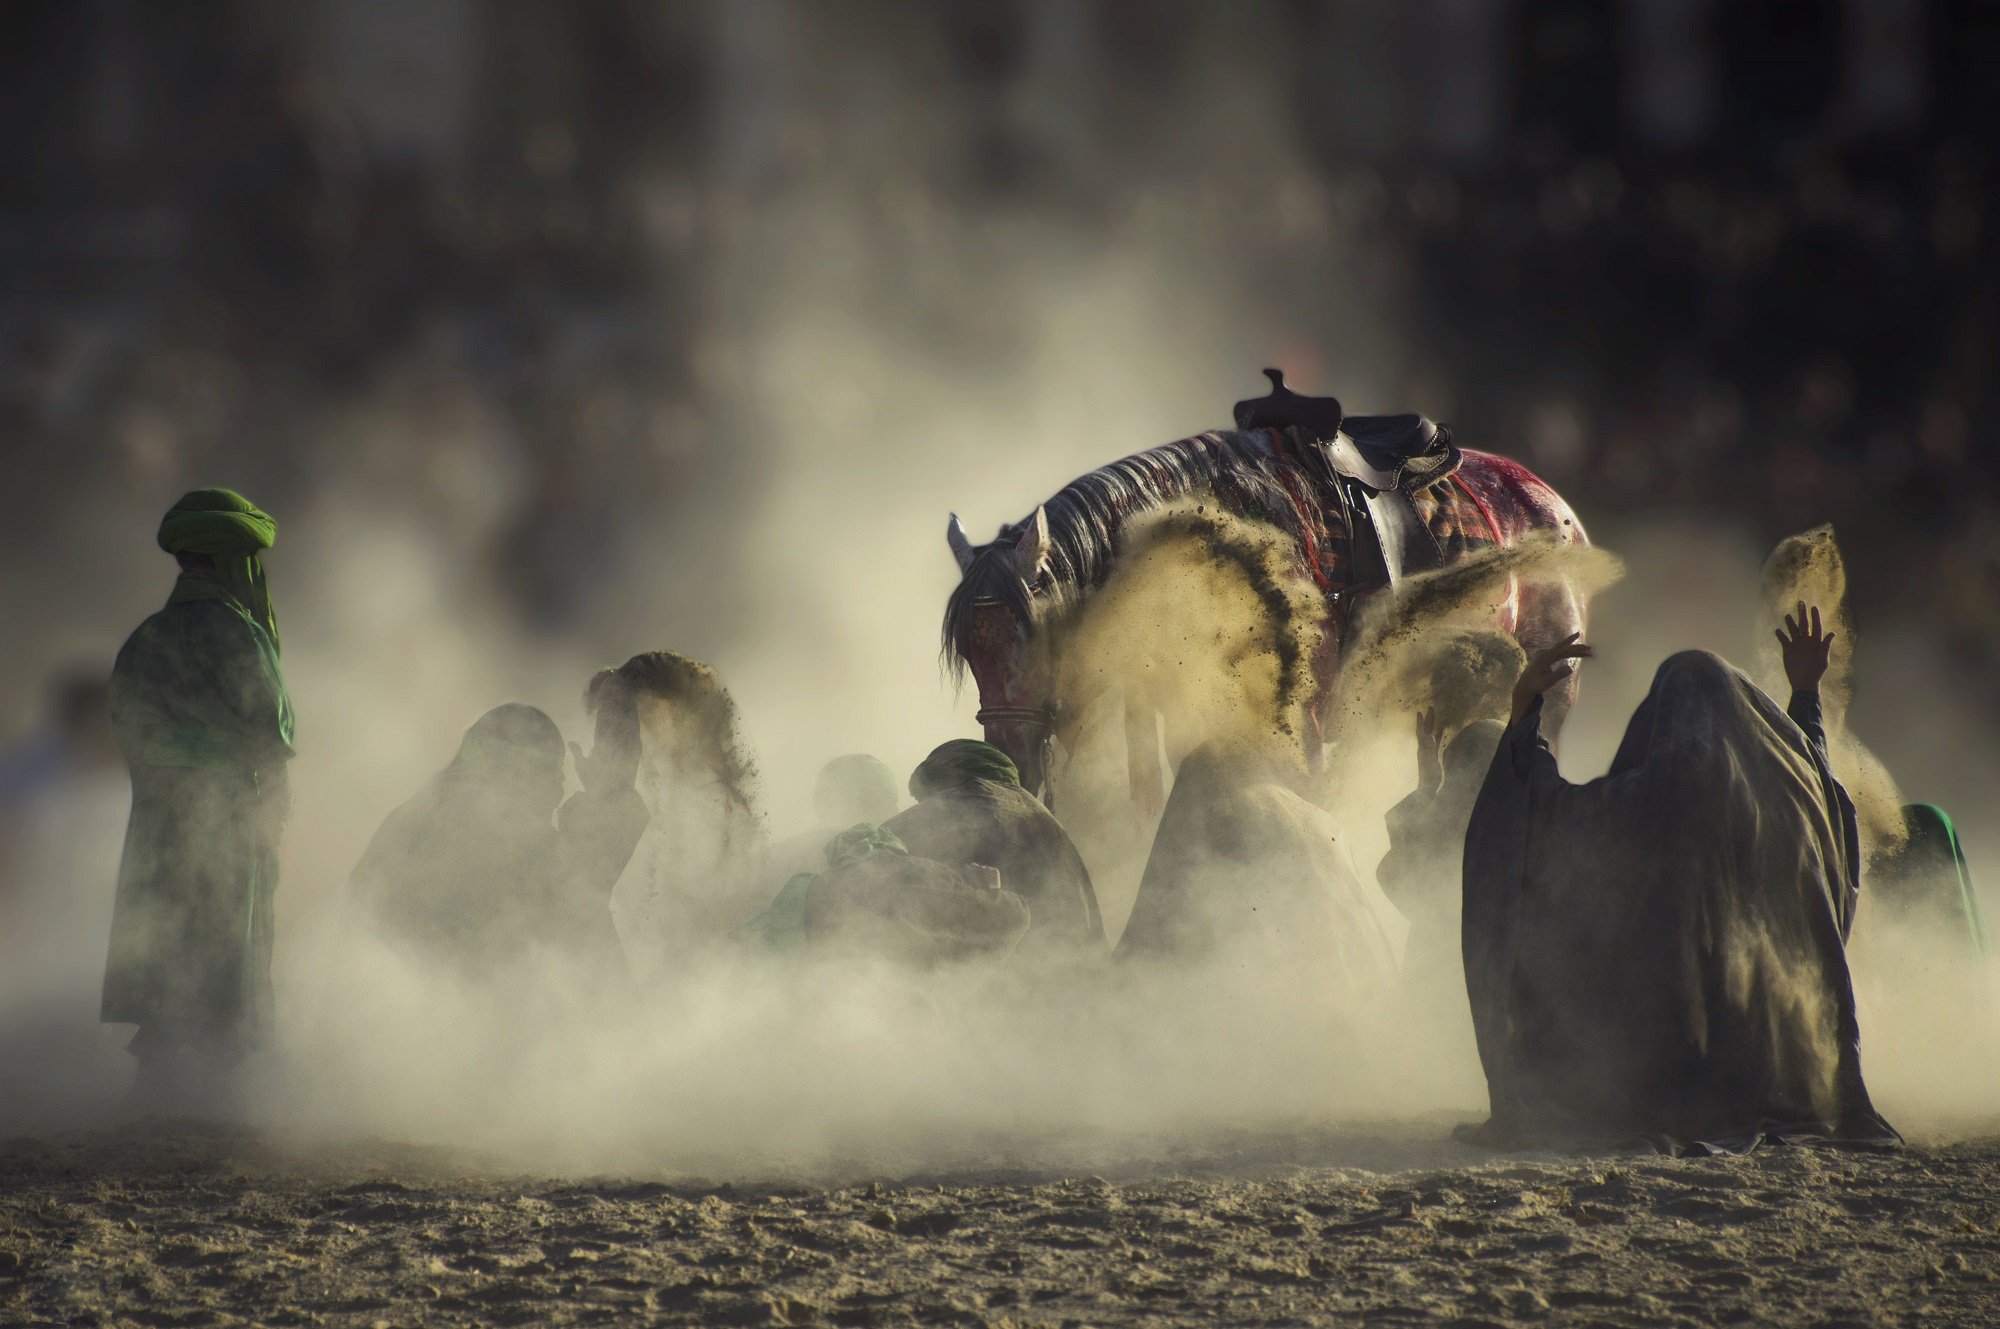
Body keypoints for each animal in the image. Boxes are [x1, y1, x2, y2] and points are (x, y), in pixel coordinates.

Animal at [940, 370, 1592, 800]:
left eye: (1035, 634)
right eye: (969, 651)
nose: (1009, 760)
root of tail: (1557, 507)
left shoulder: (1298, 722)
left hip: (1552, 690)